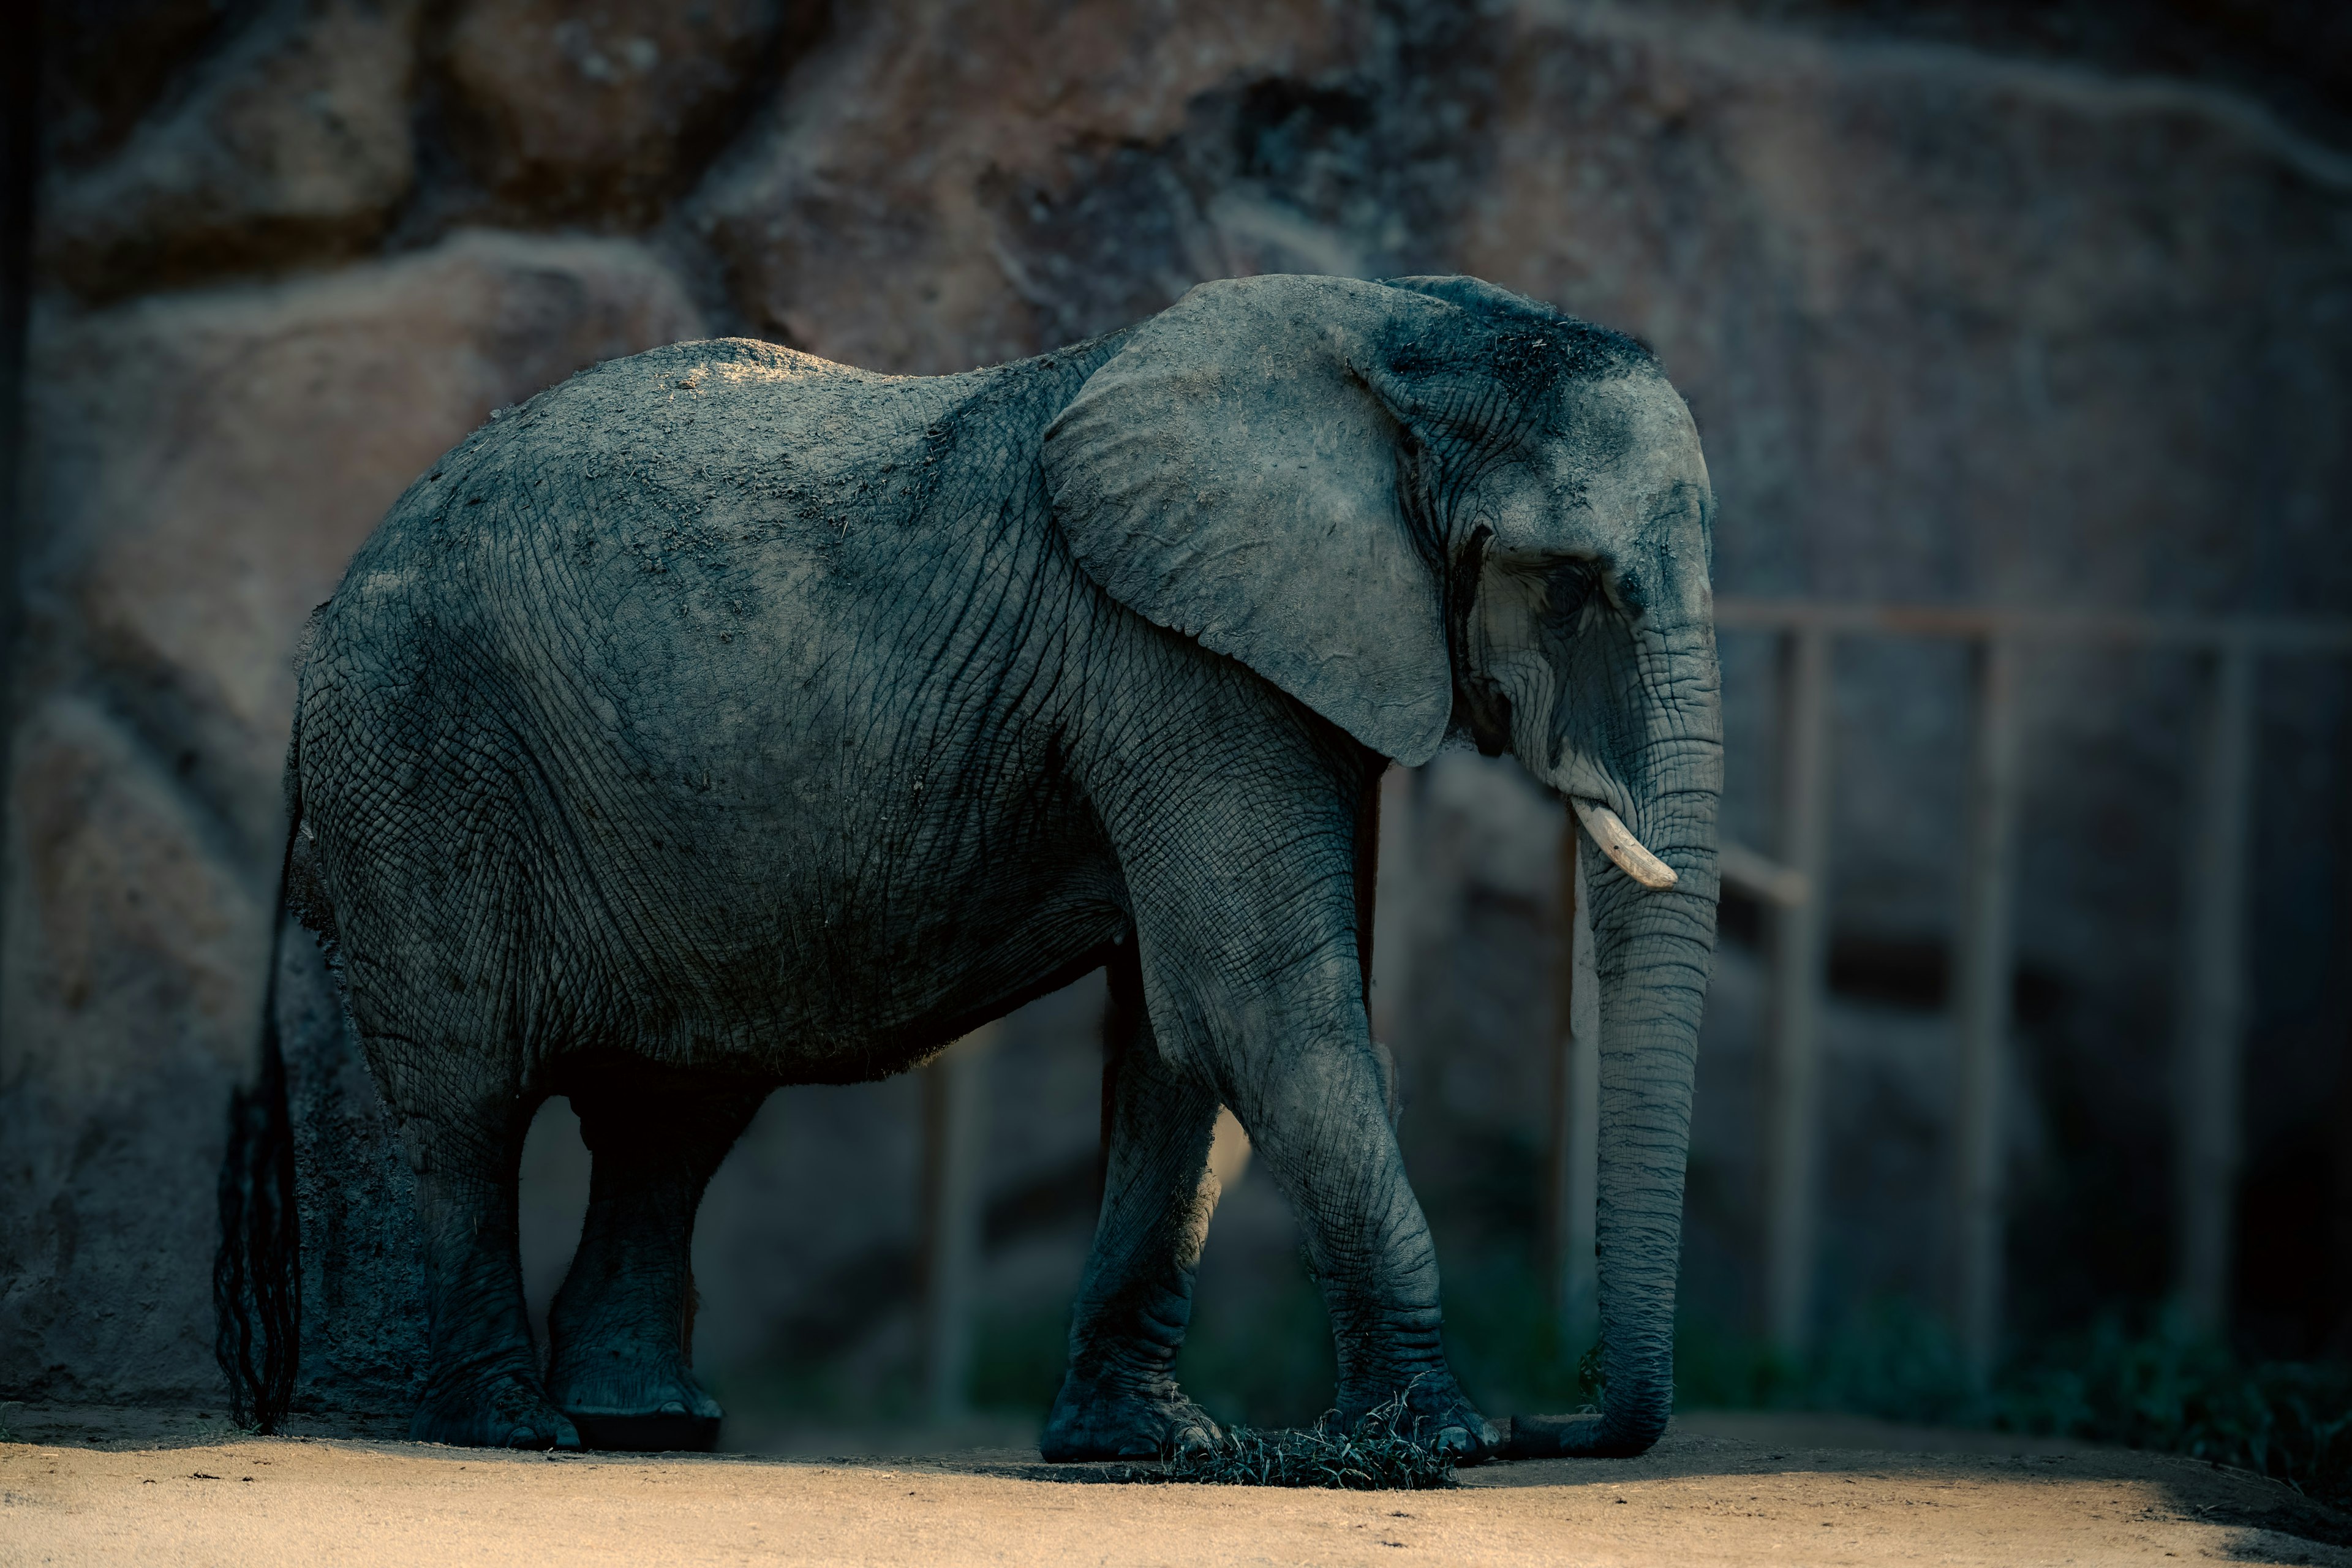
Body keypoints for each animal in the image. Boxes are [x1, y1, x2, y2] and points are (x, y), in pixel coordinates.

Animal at [221, 270, 1721, 1457]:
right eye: (1573, 582)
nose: (1555, 1420)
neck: (1407, 325)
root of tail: (319, 618)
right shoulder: (1173, 656)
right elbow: (1257, 1006)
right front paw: (1438, 1440)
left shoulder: (1262, 660)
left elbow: (1177, 1035)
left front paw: (1147, 1447)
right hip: (421, 764)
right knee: (472, 1102)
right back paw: (515, 1427)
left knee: (675, 1113)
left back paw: (647, 1424)